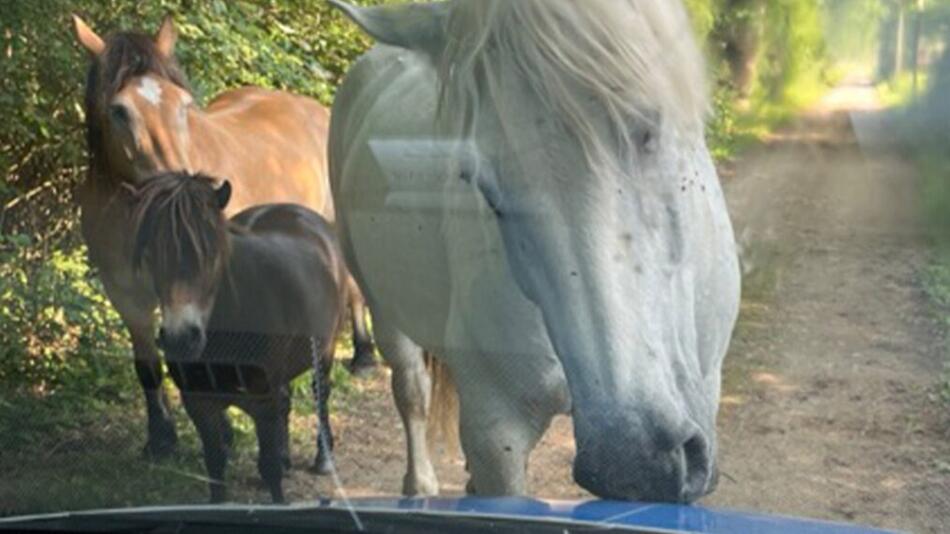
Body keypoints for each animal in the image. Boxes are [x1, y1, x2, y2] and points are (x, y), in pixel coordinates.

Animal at [72, 15, 376, 460]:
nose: (180, 191)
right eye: (119, 110)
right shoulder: (125, 293)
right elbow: (148, 366)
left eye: (183, 105)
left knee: (352, 285)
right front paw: (161, 438)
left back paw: (365, 355)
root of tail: (312, 108)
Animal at [128, 173, 348, 506]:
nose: (180, 339)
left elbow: (268, 468)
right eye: (151, 254)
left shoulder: (263, 401)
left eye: (211, 252)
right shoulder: (199, 403)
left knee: (321, 391)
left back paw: (323, 458)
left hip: (326, 347)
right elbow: (215, 464)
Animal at [330, 0, 744, 504]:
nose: (632, 464)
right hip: (383, 309)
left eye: (649, 129)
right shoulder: (496, 434)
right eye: (489, 190)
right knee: (411, 388)